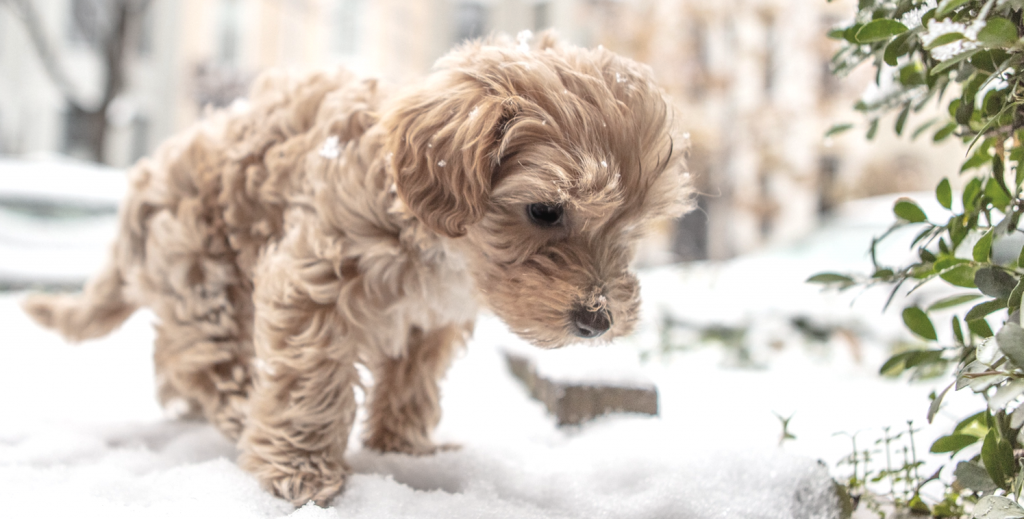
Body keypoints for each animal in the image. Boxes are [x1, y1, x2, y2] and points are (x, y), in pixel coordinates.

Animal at [24, 31, 692, 503]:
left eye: (632, 226)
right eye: (545, 210)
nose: (598, 321)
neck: (441, 247)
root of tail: (142, 182)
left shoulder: (433, 318)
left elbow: (412, 379)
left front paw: (406, 449)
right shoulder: (315, 275)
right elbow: (310, 378)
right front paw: (299, 472)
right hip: (197, 268)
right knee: (205, 357)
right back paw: (240, 411)